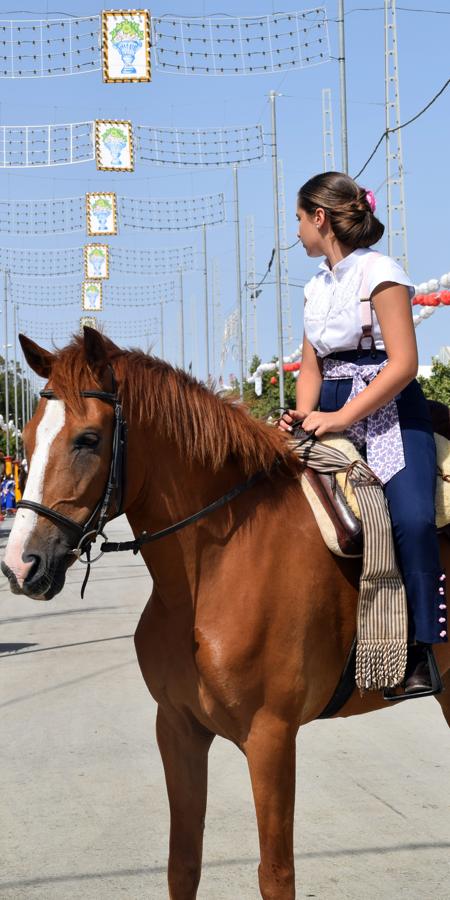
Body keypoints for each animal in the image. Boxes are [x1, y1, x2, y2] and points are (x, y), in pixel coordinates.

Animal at [3, 328, 450, 900]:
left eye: (87, 439)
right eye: (27, 438)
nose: (21, 564)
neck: (211, 573)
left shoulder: (271, 739)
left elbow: (276, 874)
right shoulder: (178, 728)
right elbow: (183, 864)